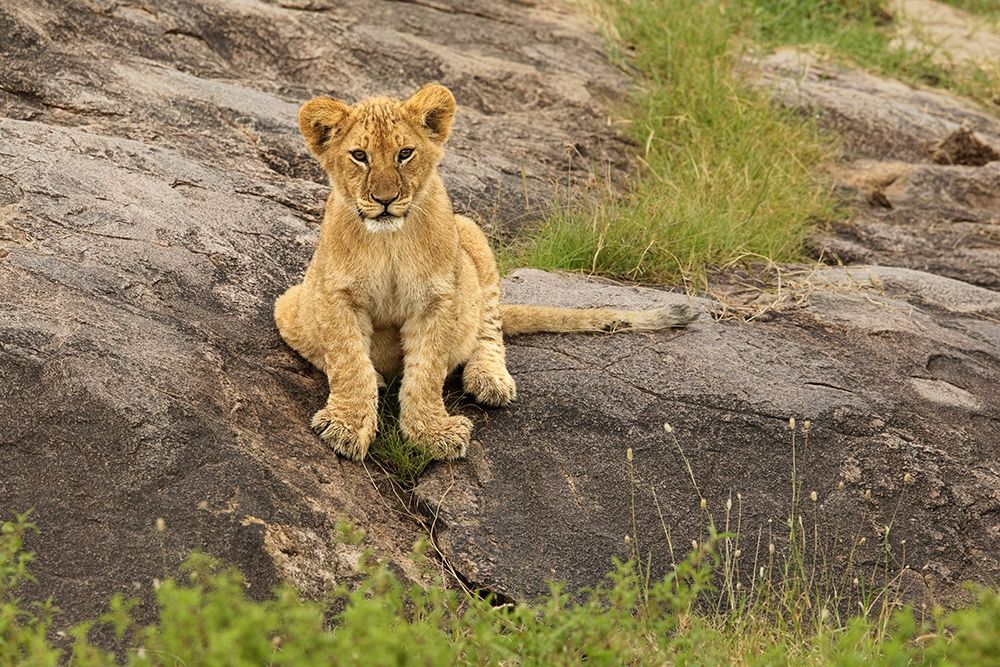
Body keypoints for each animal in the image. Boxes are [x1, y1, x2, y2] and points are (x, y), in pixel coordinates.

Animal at [274, 83, 696, 462]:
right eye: (359, 155)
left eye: (405, 153)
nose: (385, 199)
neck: (389, 242)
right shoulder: (334, 295)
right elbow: (348, 362)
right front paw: (347, 425)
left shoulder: (439, 298)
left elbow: (427, 371)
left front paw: (431, 434)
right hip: (290, 304)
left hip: (473, 237)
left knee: (489, 327)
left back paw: (489, 379)